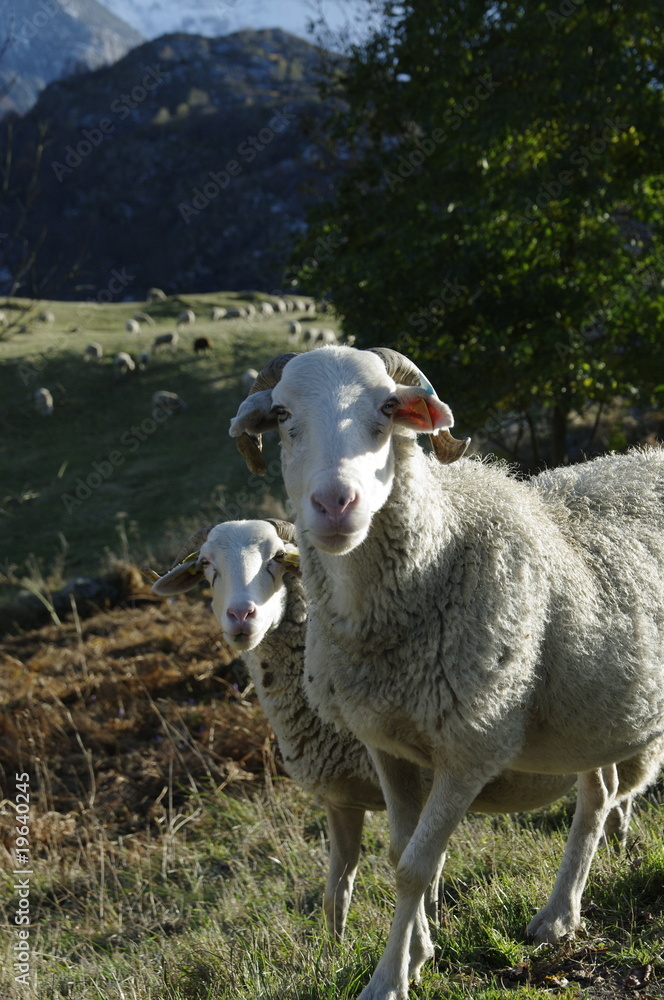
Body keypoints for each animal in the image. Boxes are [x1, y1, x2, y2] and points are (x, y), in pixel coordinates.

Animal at [151, 518, 602, 941]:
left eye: (277, 558)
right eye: (207, 565)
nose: (241, 615)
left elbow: (426, 865)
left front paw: (429, 931)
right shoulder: (340, 800)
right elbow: (336, 892)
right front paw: (335, 951)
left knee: (598, 797)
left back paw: (562, 909)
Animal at [230, 346, 664, 1000]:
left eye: (389, 408)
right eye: (281, 414)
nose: (335, 505)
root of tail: (647, 455)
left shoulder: (473, 745)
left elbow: (416, 869)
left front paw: (388, 980)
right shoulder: (388, 745)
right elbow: (401, 853)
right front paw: (417, 955)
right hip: (590, 712)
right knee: (600, 793)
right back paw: (559, 915)